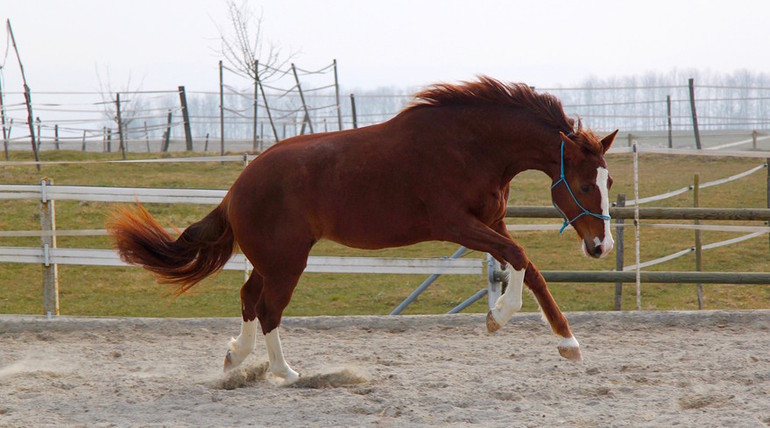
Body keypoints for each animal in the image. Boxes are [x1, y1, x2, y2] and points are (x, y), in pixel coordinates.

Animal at [108, 77, 616, 384]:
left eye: (609, 183)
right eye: (585, 185)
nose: (601, 246)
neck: (470, 145)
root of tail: (237, 188)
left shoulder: (492, 221)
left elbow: (531, 271)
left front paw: (568, 344)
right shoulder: (457, 225)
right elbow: (520, 259)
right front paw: (497, 318)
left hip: (271, 260)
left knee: (249, 298)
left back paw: (237, 356)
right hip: (287, 262)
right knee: (268, 308)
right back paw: (286, 374)